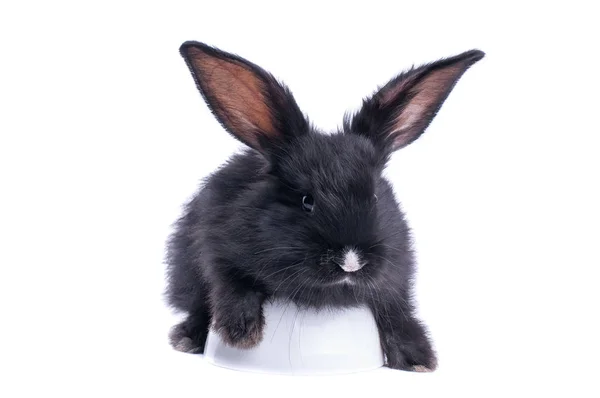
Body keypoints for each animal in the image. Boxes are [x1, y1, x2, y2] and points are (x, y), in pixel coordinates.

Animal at [164, 39, 482, 370]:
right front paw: (240, 333)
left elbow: (395, 310)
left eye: (374, 197)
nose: (350, 262)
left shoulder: (396, 279)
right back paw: (188, 339)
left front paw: (418, 359)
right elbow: (230, 284)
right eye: (307, 201)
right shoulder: (214, 249)